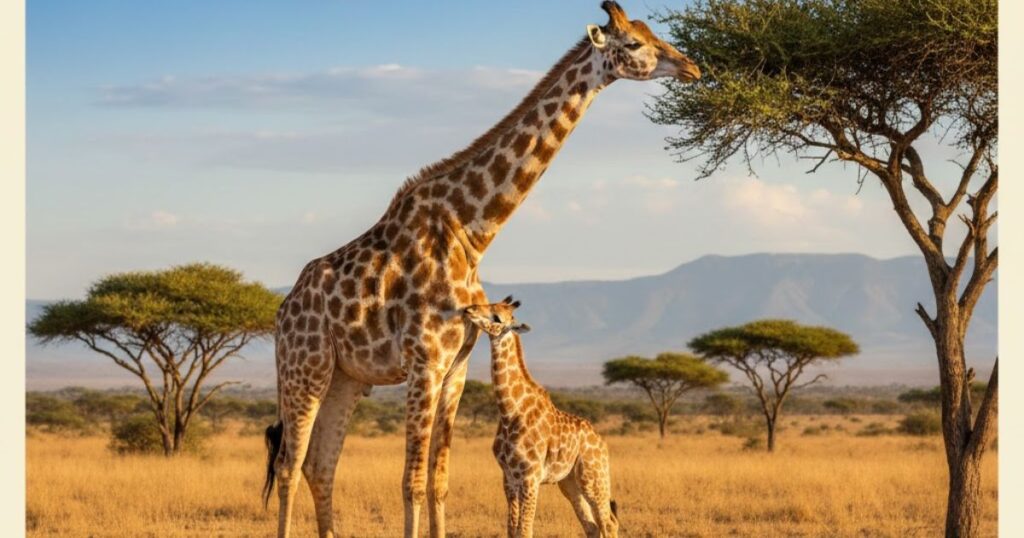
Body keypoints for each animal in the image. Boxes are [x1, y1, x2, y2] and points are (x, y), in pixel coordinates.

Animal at [464, 297, 618, 538]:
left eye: (497, 318)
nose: (469, 309)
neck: (510, 411)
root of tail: (601, 441)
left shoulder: (530, 476)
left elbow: (525, 530)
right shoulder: (508, 477)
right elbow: (512, 530)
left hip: (593, 477)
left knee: (609, 523)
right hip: (569, 482)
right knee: (592, 526)